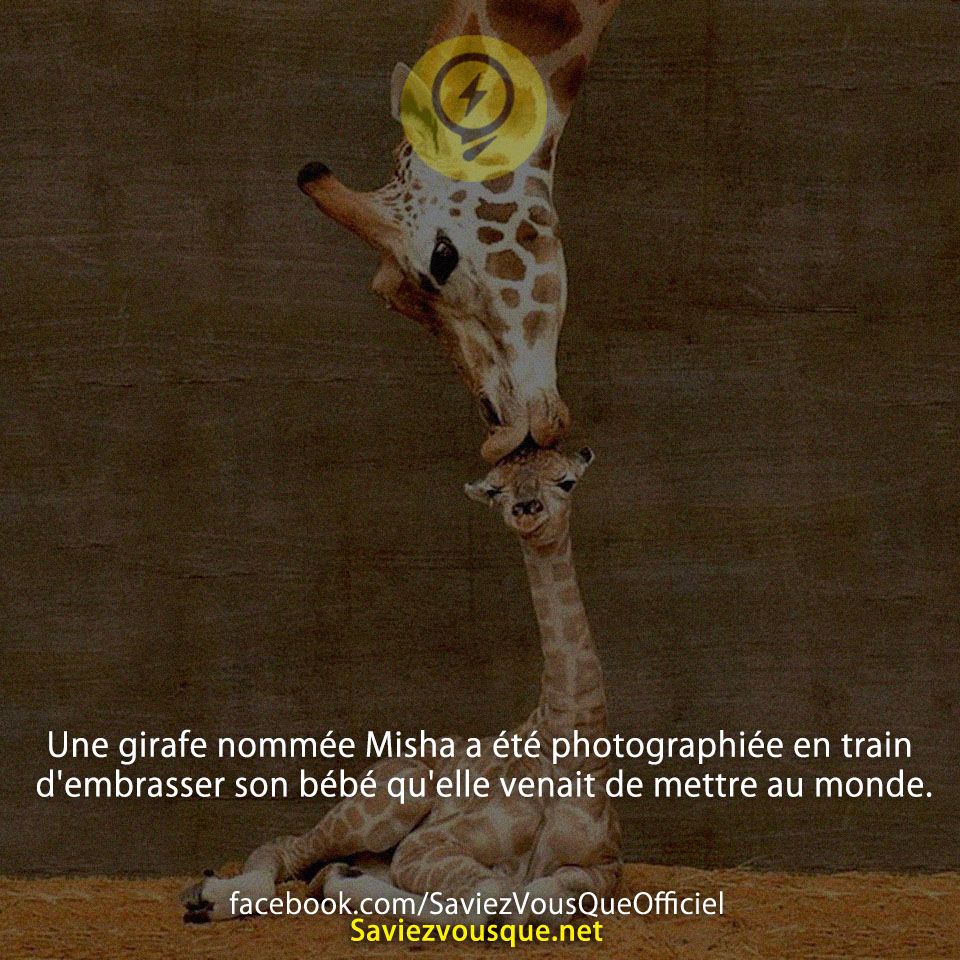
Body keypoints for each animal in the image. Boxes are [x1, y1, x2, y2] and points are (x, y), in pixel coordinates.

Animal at [181, 445, 621, 924]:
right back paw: (207, 896)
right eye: (495, 491)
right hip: (394, 797)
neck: (567, 740)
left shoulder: (607, 870)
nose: (526, 509)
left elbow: (543, 895)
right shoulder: (427, 842)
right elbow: (492, 897)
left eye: (566, 481)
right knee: (285, 849)